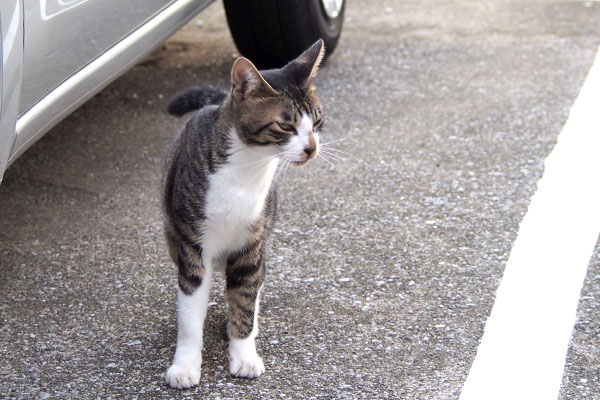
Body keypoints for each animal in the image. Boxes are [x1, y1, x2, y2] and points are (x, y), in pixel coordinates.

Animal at [162, 39, 326, 388]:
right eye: (286, 125)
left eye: (317, 122)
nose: (312, 148)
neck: (247, 168)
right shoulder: (192, 246)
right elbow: (190, 312)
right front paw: (185, 365)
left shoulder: (252, 242)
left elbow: (245, 300)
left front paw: (244, 355)